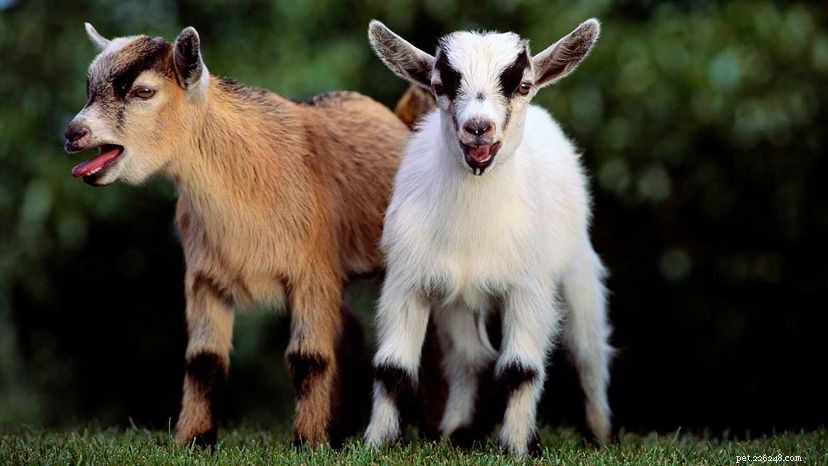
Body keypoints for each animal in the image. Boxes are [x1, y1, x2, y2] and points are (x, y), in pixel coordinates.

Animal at [64, 23, 420, 447]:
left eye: (143, 91)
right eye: (89, 86)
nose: (73, 133)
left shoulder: (313, 271)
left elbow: (309, 357)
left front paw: (308, 443)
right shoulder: (205, 278)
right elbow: (203, 361)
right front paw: (193, 440)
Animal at [364, 19, 613, 456]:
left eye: (523, 85)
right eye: (439, 84)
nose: (478, 127)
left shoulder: (528, 289)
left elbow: (520, 369)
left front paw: (517, 448)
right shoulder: (408, 281)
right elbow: (392, 368)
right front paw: (376, 443)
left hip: (578, 265)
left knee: (588, 349)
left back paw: (599, 433)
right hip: (459, 301)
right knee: (470, 357)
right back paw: (455, 431)